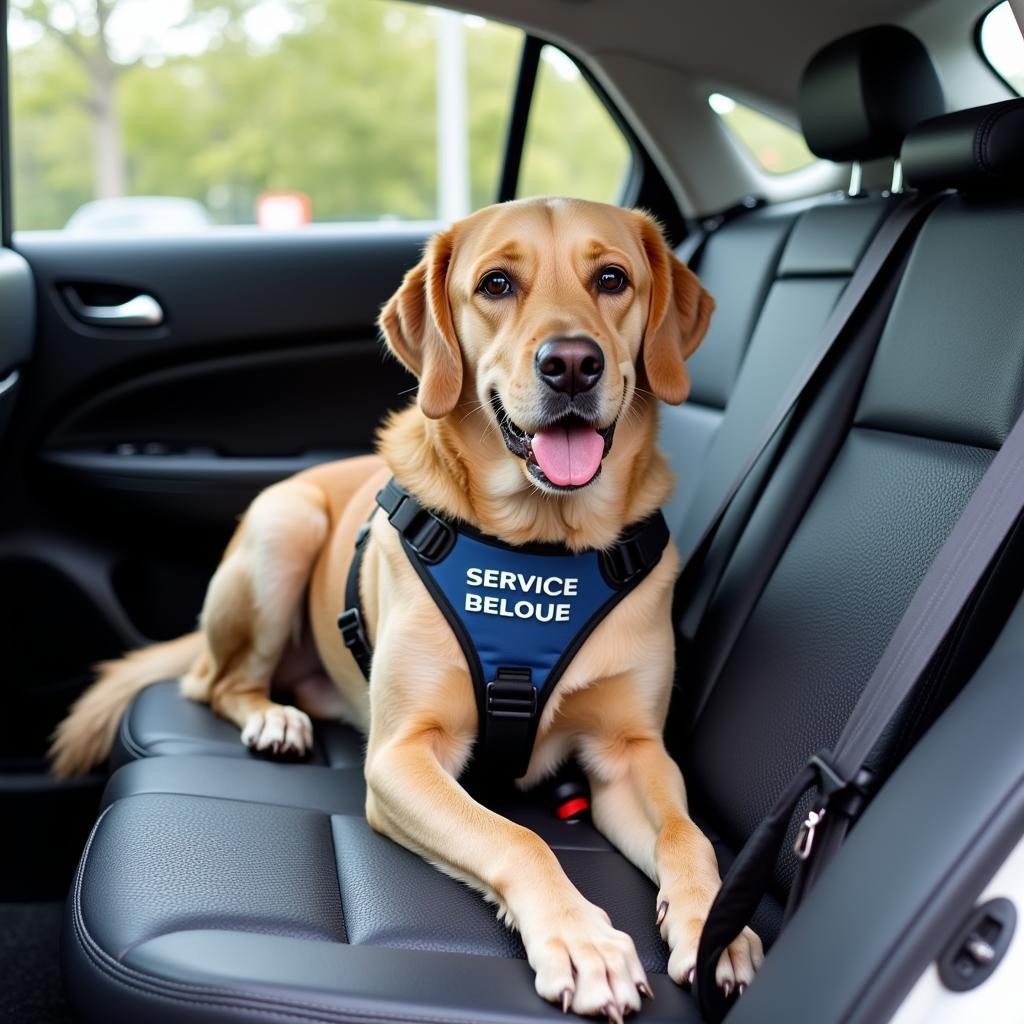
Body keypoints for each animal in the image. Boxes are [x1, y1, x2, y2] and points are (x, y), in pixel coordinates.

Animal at [51, 197, 765, 1015]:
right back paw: (273, 719)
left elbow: (687, 834)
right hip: (284, 525)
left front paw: (717, 923)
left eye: (612, 278)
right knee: (215, 683)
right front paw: (582, 940)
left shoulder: (631, 756)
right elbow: (517, 837)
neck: (540, 546)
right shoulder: (401, 757)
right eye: (496, 284)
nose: (572, 364)